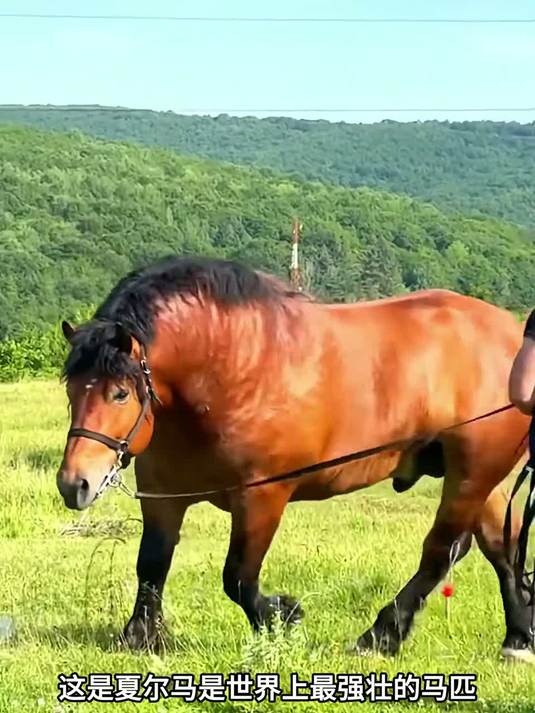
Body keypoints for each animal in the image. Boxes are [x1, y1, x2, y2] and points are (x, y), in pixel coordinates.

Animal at [56, 256, 533, 662]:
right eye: (71, 390)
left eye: (120, 393)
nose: (74, 483)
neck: (232, 368)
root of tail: (511, 335)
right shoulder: (162, 495)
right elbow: (152, 564)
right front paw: (141, 636)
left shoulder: (262, 496)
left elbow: (239, 577)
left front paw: (284, 617)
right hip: (480, 477)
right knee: (499, 548)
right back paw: (517, 639)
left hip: (472, 473)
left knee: (440, 552)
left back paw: (380, 636)